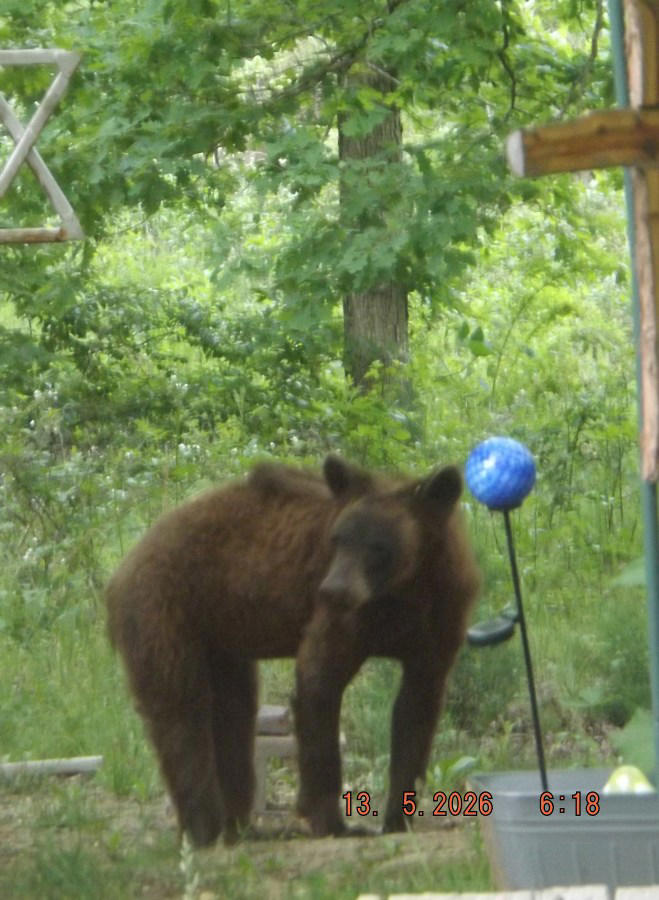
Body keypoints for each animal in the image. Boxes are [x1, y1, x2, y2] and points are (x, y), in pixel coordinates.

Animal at [105, 454, 480, 847]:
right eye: (338, 538)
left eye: (378, 545)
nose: (333, 589)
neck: (401, 593)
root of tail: (126, 562)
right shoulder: (346, 620)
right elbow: (319, 681)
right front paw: (334, 821)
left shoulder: (439, 618)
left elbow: (417, 708)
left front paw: (398, 817)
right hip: (165, 606)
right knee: (181, 708)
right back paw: (205, 828)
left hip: (221, 633)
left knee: (234, 713)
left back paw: (239, 826)